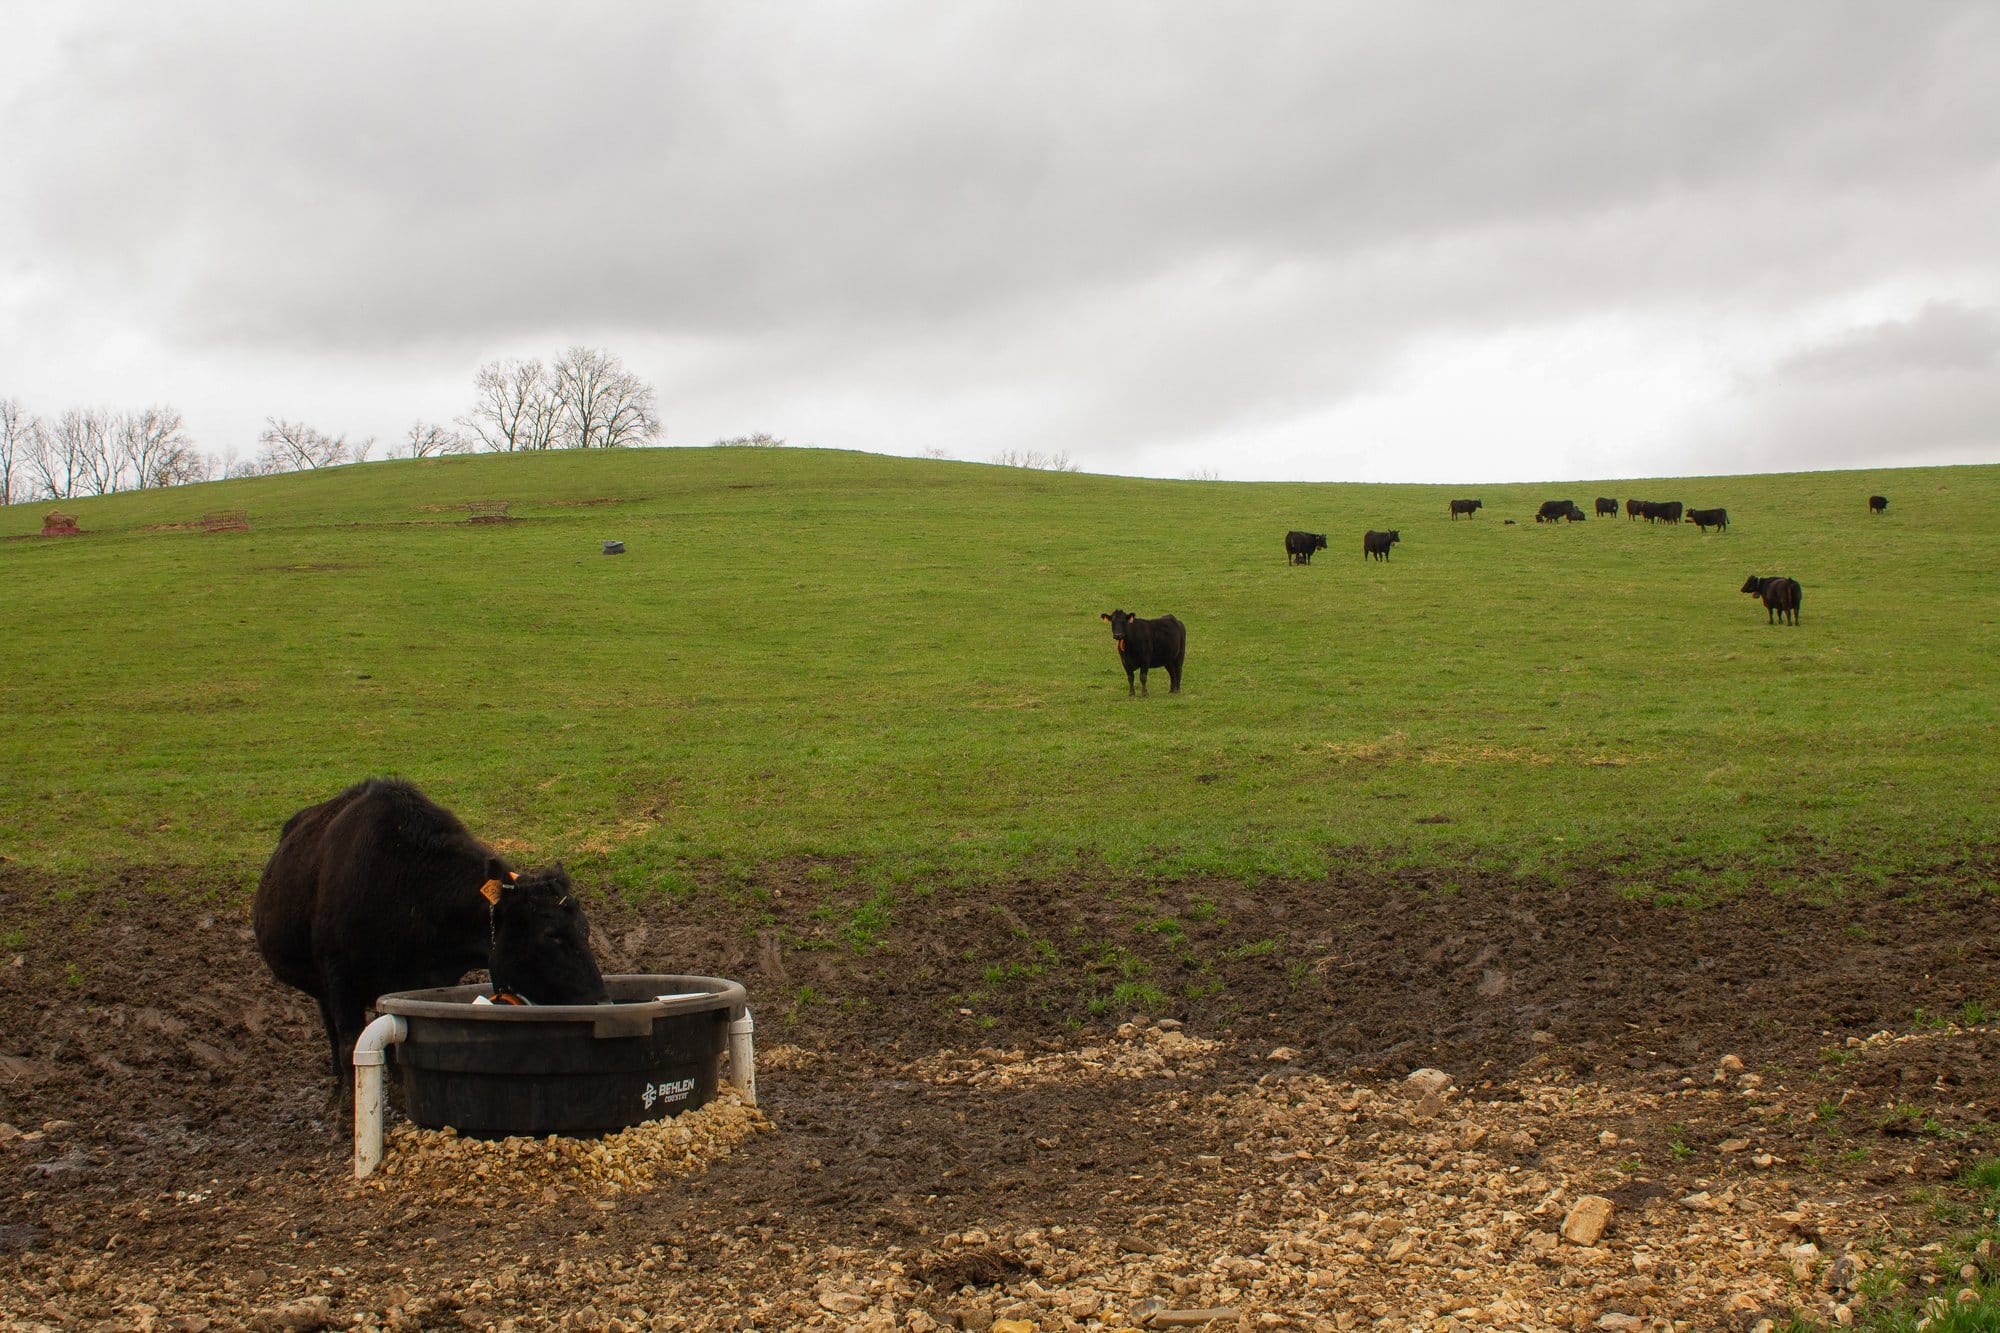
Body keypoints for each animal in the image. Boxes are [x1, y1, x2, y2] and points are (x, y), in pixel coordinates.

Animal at [253, 778, 610, 1098]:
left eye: (586, 929)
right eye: (551, 935)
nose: (601, 1003)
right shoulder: (340, 978)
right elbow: (349, 1046)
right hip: (322, 984)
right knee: (332, 1033)